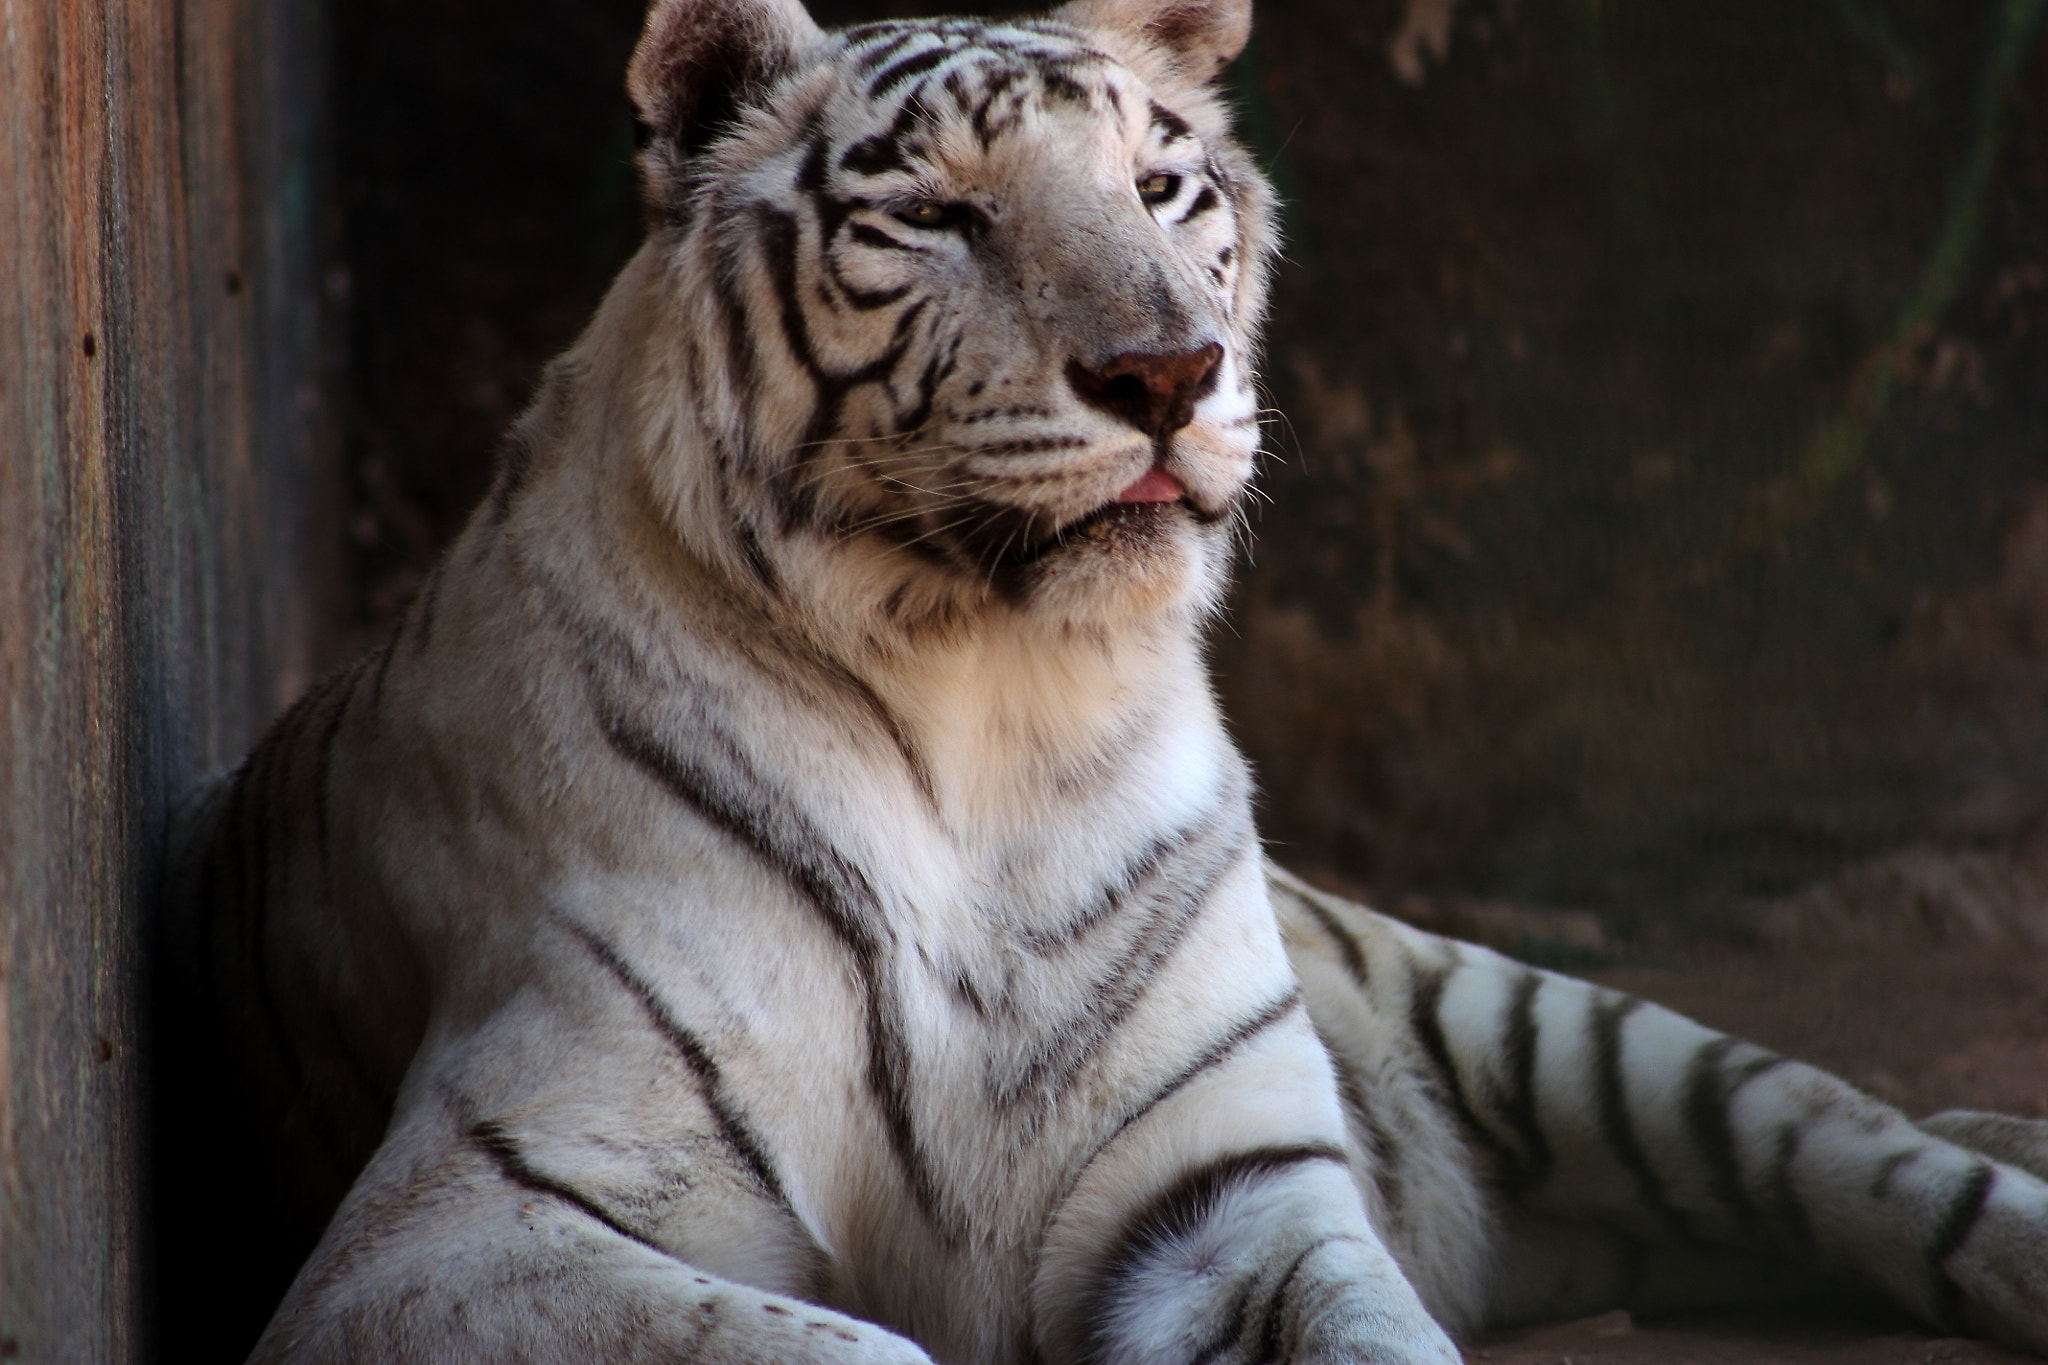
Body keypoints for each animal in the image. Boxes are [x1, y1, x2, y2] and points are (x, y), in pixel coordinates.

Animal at [157, 0, 2048, 1360]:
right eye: (936, 214)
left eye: (1157, 186)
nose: (1167, 371)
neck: (994, 710)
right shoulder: (462, 1223)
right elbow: (839, 1347)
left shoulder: (1228, 1192)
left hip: (1550, 1023)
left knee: (1869, 1148)